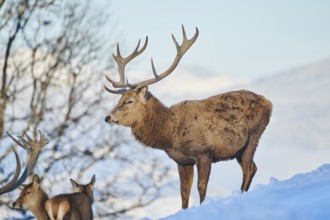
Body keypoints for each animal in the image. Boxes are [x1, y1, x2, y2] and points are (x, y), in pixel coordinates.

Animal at [104, 25, 272, 208]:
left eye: (129, 101)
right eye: (119, 99)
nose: (108, 117)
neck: (171, 135)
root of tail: (269, 103)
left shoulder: (204, 152)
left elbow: (201, 187)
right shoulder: (182, 161)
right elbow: (184, 193)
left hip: (254, 134)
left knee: (249, 168)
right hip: (238, 150)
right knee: (252, 167)